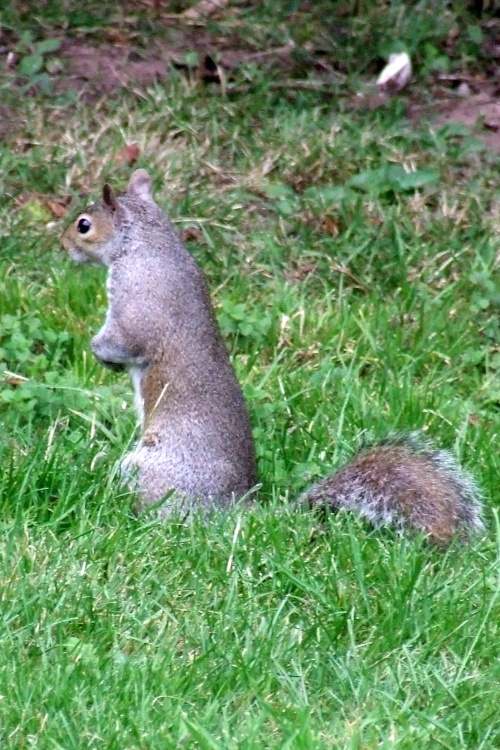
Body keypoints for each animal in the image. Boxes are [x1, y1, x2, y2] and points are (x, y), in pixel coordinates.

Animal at [61, 170, 484, 548]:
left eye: (84, 225)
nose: (63, 244)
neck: (146, 242)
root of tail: (229, 509)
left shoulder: (136, 302)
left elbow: (124, 340)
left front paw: (100, 352)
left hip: (147, 469)